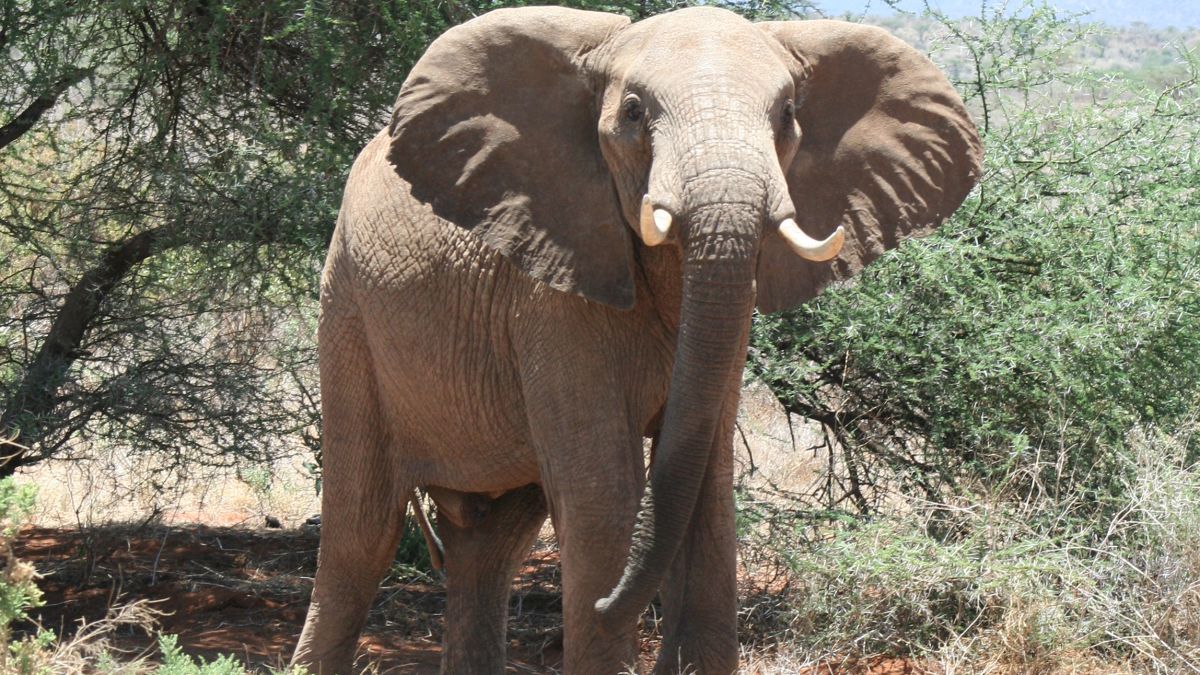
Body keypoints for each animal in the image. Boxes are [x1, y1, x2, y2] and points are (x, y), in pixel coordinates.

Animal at [290, 6, 981, 674]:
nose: (600, 609)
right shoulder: (553, 286)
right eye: (632, 112)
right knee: (361, 532)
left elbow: (706, 491)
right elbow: (605, 493)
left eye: (788, 114)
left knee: (489, 542)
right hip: (348, 309)